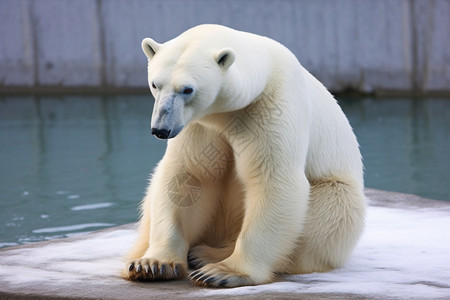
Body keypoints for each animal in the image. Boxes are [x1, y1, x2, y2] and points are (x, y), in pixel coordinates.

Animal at [122, 24, 366, 288]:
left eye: (187, 89)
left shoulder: (271, 106)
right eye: (155, 84)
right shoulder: (199, 125)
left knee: (328, 210)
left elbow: (274, 181)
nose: (160, 129)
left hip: (337, 197)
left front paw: (223, 272)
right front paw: (153, 264)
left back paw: (207, 254)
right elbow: (189, 177)